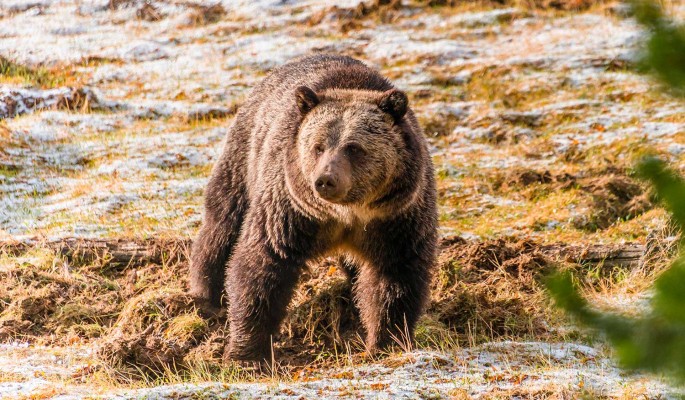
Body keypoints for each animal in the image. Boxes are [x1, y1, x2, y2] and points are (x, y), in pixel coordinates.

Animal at [191, 54, 438, 362]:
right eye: (318, 146)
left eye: (353, 147)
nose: (325, 180)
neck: (346, 213)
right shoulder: (292, 211)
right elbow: (262, 262)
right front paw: (247, 354)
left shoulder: (395, 218)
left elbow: (395, 278)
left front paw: (385, 342)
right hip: (244, 159)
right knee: (224, 222)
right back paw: (206, 295)